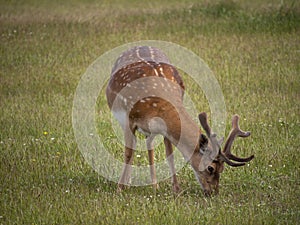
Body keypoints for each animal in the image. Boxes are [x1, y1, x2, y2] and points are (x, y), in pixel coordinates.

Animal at [105, 45, 253, 195]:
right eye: (210, 168)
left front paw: (176, 189)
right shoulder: (128, 119)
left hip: (149, 131)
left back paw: (153, 186)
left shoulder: (163, 129)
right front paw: (119, 189)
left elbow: (169, 154)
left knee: (148, 145)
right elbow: (128, 153)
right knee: (134, 146)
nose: (213, 192)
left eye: (222, 169)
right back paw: (128, 184)